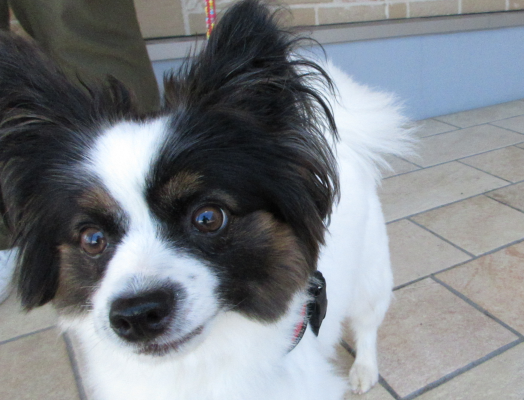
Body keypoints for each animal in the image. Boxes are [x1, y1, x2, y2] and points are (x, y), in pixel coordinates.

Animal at [0, 1, 413, 398]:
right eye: (92, 239)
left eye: (208, 218)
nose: (136, 314)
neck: (193, 369)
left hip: (371, 276)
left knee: (367, 324)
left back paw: (364, 369)